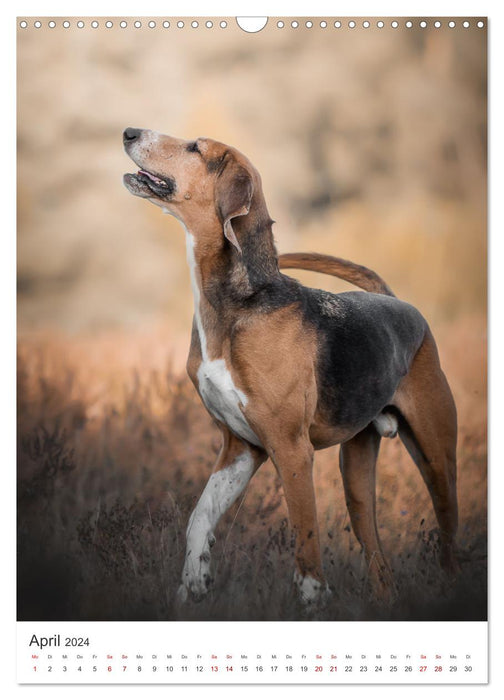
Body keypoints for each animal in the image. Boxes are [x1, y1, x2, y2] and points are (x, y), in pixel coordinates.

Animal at [124, 129, 458, 604]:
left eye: (195, 148)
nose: (129, 132)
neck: (237, 304)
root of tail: (394, 299)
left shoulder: (291, 450)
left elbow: (306, 533)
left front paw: (312, 599)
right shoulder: (240, 448)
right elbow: (198, 520)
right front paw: (193, 585)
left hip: (436, 457)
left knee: (449, 534)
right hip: (357, 476)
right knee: (377, 557)